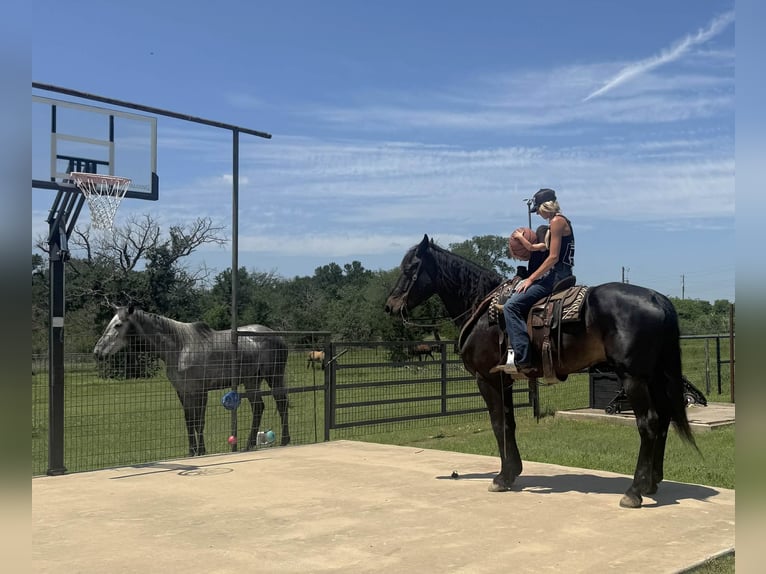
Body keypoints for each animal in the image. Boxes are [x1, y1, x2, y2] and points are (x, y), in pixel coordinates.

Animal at [93, 306, 290, 456]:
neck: (180, 348)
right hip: (251, 380)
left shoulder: (200, 391)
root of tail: (277, 336)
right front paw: (192, 451)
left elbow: (199, 421)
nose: (97, 352)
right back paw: (249, 445)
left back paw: (284, 441)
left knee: (281, 403)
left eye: (118, 324)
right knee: (258, 407)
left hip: (274, 377)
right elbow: (189, 421)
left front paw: (201, 451)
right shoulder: (183, 391)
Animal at [384, 235, 698, 508]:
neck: (483, 309)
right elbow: (509, 424)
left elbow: (498, 424)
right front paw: (512, 472)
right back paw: (652, 482)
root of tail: (657, 299)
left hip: (633, 378)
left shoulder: (487, 378)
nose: (390, 306)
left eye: (410, 268)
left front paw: (501, 478)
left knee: (649, 422)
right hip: (654, 377)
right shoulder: (505, 380)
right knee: (664, 420)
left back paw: (634, 491)